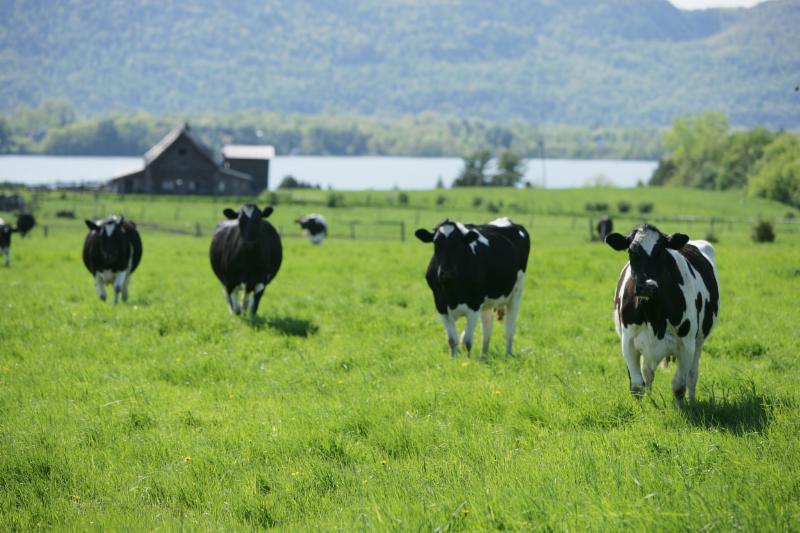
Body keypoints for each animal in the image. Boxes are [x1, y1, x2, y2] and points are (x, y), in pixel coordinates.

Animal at [415, 217, 530, 357]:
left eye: (459, 244)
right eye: (436, 243)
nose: (446, 272)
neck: (452, 289)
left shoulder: (474, 305)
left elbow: (467, 340)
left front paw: (467, 360)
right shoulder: (440, 305)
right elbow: (452, 339)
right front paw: (453, 359)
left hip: (516, 293)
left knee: (509, 329)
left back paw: (507, 354)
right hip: (487, 303)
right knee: (487, 329)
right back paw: (483, 356)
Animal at [605, 223, 720, 407]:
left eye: (661, 251)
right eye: (631, 251)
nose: (647, 286)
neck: (654, 315)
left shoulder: (686, 344)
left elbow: (679, 385)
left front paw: (682, 410)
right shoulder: (628, 341)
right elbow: (637, 385)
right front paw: (642, 409)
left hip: (699, 342)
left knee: (692, 376)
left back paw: (693, 401)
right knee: (648, 374)